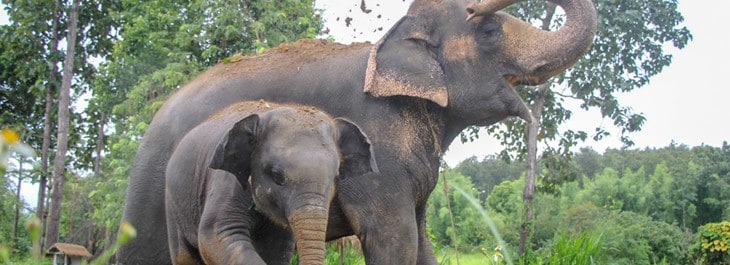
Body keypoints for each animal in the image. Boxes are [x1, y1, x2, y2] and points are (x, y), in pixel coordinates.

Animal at [164, 100, 376, 262]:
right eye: (277, 176)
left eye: (335, 177)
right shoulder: (227, 183)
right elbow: (215, 235)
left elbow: (277, 250)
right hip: (173, 207)